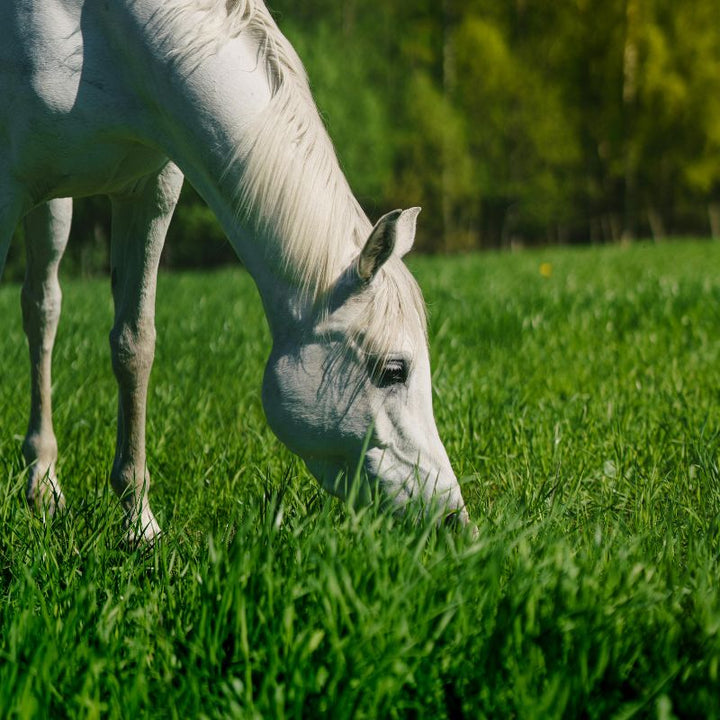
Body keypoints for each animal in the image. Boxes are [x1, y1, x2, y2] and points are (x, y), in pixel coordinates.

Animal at [0, 0, 471, 542]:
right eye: (394, 370)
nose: (453, 518)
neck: (100, 31)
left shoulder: (151, 190)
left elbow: (134, 346)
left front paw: (138, 522)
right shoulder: (6, 191)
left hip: (54, 202)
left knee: (43, 310)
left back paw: (42, 482)